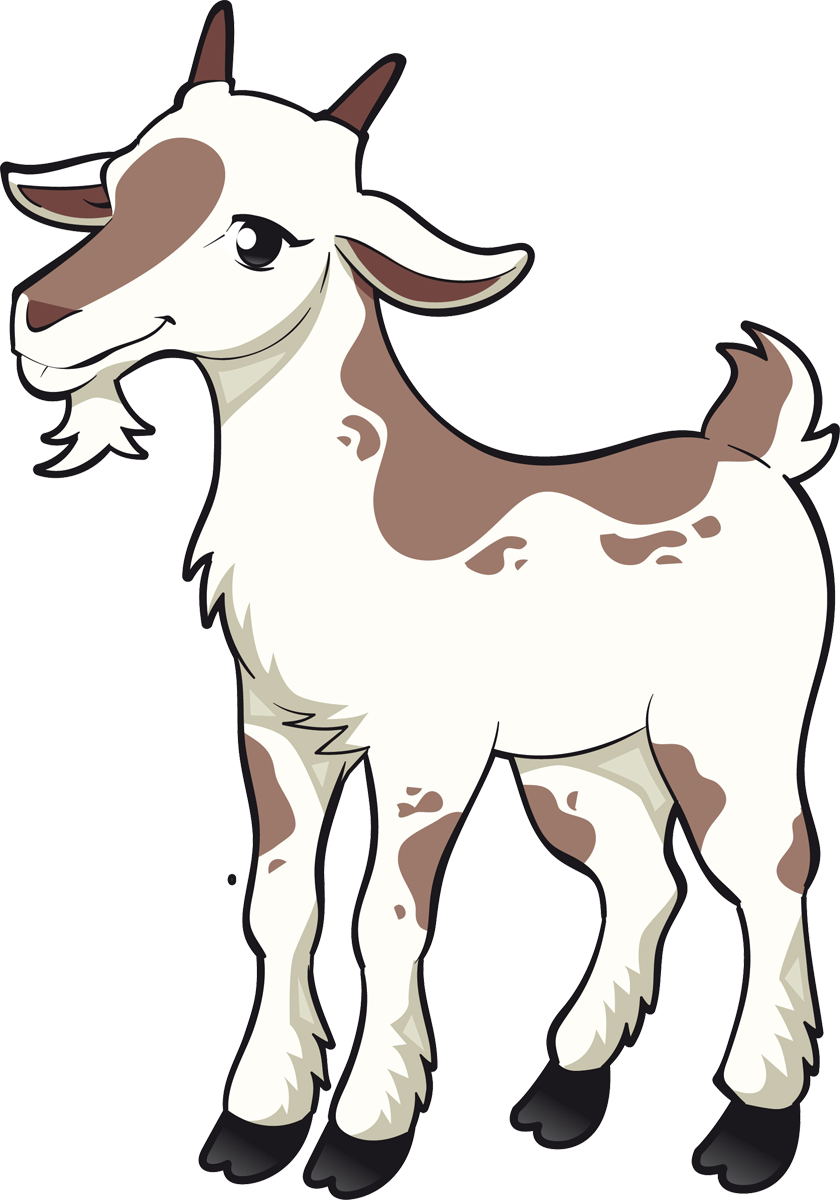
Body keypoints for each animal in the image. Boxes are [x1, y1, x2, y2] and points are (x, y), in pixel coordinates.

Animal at [4, 3, 833, 1194]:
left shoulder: (426, 750)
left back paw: (751, 1128)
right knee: (642, 877)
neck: (363, 522)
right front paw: (254, 1125)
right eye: (119, 185)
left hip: (727, 725)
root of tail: (747, 451)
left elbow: (386, 920)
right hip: (582, 758)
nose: (44, 319)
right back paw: (562, 1097)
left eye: (260, 236)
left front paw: (363, 1136)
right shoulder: (279, 730)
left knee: (767, 873)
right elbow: (278, 908)